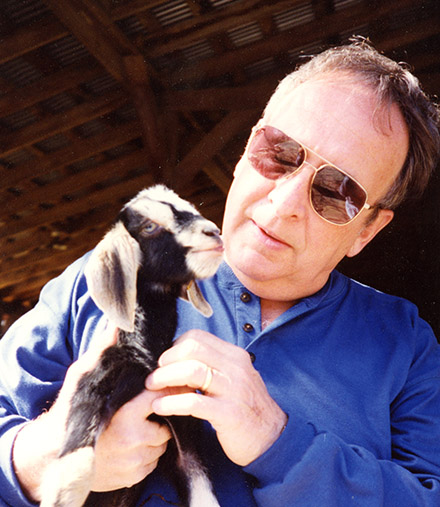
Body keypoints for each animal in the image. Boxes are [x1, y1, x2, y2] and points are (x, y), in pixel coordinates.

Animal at [41, 187, 223, 507]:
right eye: (149, 226)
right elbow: (79, 447)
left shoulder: (180, 418)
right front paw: (62, 495)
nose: (213, 232)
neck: (147, 354)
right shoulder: (96, 377)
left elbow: (200, 485)